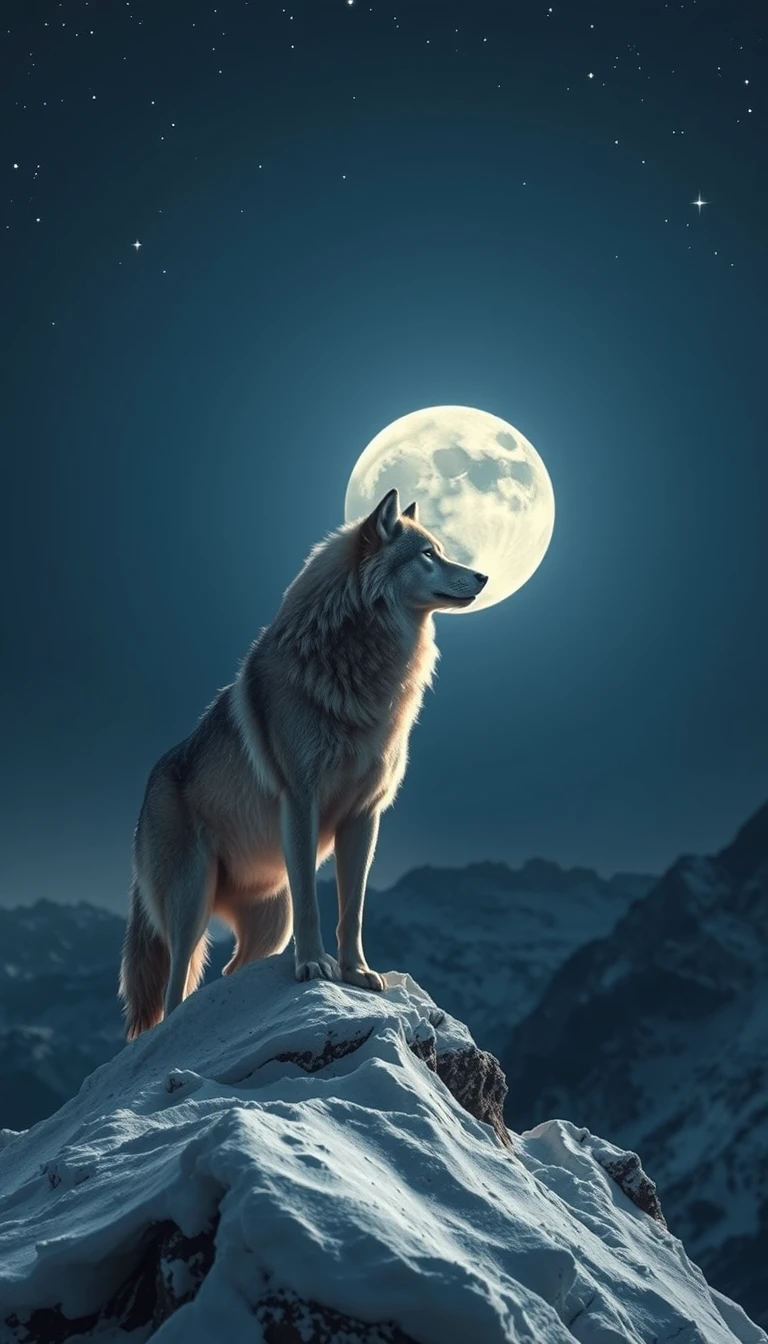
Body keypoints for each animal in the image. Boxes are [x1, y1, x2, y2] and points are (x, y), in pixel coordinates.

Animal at [118, 487, 487, 1039]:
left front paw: (356, 972)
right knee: (174, 992)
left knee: (230, 971)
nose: (484, 577)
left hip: (271, 919)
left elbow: (352, 909)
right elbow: (315, 902)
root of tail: (146, 792)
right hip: (192, 907)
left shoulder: (365, 817)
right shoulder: (301, 802)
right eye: (429, 554)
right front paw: (315, 965)